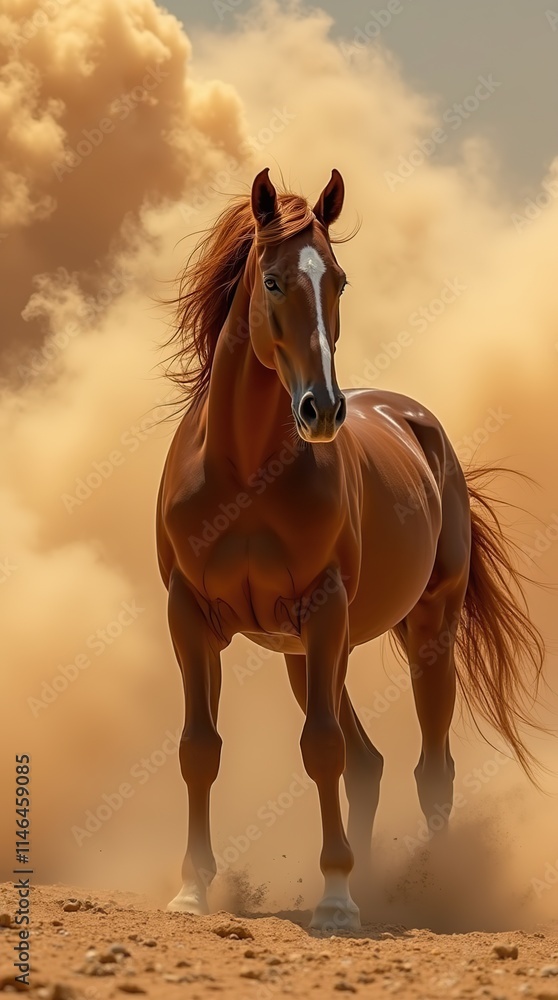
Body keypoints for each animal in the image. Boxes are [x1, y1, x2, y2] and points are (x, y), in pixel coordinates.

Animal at [156, 168, 544, 931]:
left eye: (337, 279)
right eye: (273, 280)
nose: (323, 410)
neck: (244, 473)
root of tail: (419, 423)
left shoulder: (324, 607)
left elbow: (321, 748)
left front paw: (336, 900)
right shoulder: (191, 616)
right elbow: (199, 749)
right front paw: (190, 892)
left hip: (422, 631)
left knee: (430, 769)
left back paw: (427, 890)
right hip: (303, 653)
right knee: (370, 764)